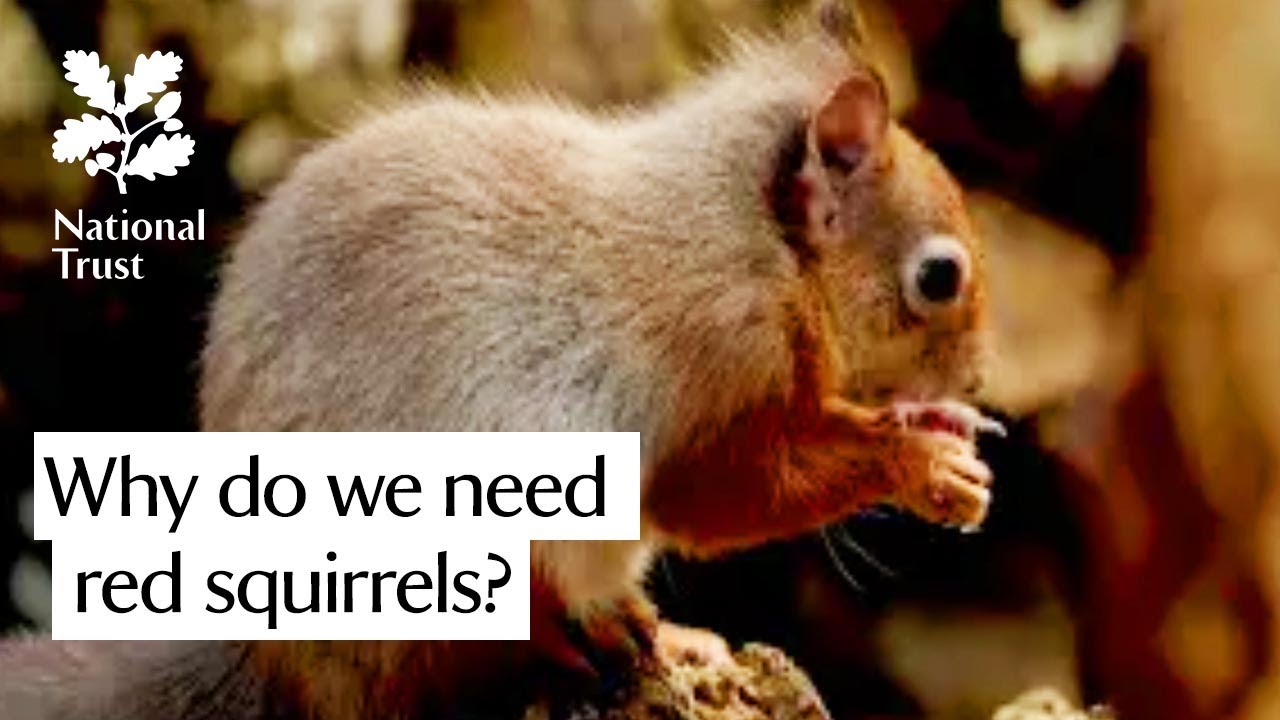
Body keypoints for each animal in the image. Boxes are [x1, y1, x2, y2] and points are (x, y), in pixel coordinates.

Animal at [0, 2, 1001, 719]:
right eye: (939, 277)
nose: (977, 380)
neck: (758, 243)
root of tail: (285, 672)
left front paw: (944, 427)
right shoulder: (714, 366)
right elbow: (735, 493)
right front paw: (920, 462)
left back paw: (670, 637)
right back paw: (585, 646)